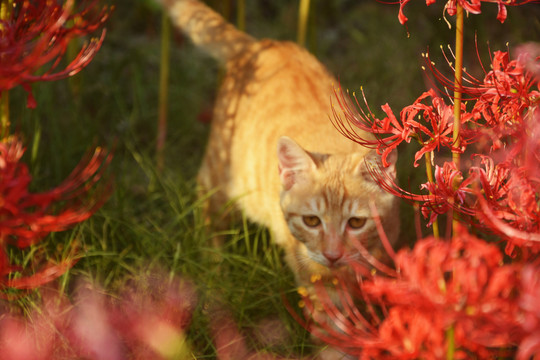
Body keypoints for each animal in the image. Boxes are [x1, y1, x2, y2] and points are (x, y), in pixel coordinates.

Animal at [158, 0, 398, 354]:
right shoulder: (314, 276)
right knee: (207, 207)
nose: (332, 254)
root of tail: (260, 45)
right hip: (221, 176)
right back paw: (215, 268)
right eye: (311, 221)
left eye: (356, 223)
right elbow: (330, 327)